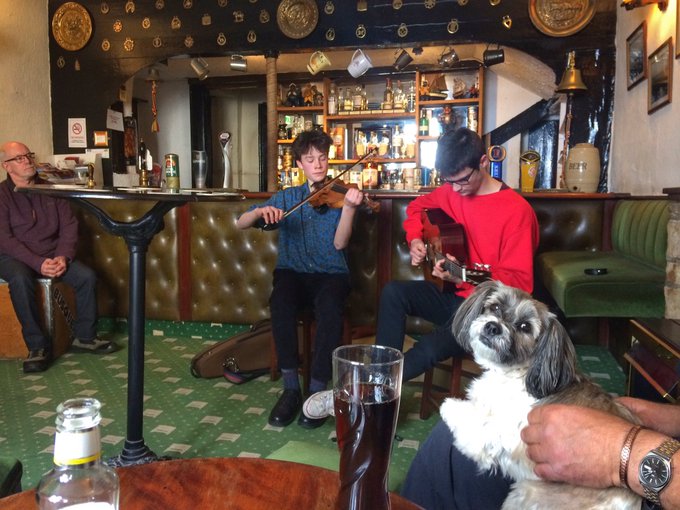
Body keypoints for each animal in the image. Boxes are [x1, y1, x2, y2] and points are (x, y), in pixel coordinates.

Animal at [440, 280, 644, 508]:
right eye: (495, 307)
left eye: (525, 327)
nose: (493, 326)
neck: (515, 373)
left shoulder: (495, 437)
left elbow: (472, 421)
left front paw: (449, 406)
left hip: (525, 493)